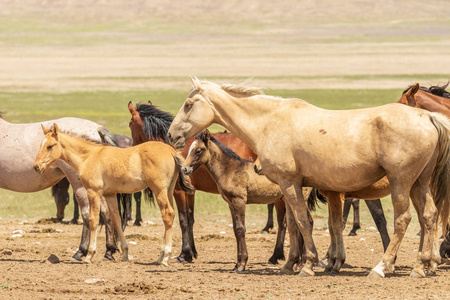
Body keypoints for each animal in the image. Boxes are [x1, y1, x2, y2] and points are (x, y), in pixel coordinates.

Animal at [0, 116, 118, 262]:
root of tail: (97, 129)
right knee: (106, 212)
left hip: (81, 186)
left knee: (87, 213)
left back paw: (81, 252)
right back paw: (109, 251)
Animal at [33, 124, 192, 264]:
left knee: (167, 215)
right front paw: (124, 254)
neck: (88, 157)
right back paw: (160, 257)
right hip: (169, 191)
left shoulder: (93, 192)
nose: (36, 166)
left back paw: (165, 258)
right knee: (171, 215)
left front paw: (89, 255)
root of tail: (171, 151)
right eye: (40, 145)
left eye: (50, 146)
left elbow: (93, 220)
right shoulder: (110, 195)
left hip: (159, 190)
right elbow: (116, 220)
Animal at [181, 130, 322, 270]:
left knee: (307, 222)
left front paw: (242, 264)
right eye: (190, 149)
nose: (185, 169)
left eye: (198, 150)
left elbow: (240, 229)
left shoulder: (239, 201)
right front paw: (236, 264)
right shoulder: (231, 204)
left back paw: (302, 263)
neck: (231, 170)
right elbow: (235, 229)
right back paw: (299, 263)